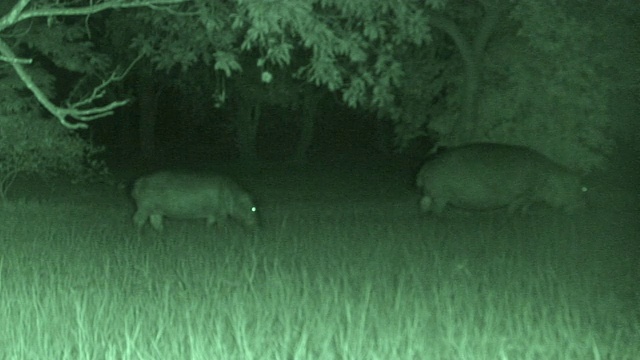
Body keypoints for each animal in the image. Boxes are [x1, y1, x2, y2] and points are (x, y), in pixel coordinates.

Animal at [418, 143, 588, 215]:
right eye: (568, 186)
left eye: (580, 185)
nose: (580, 206)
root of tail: (426, 167)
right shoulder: (523, 195)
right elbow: (514, 208)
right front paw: (513, 216)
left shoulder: (529, 197)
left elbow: (524, 207)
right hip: (441, 195)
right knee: (436, 209)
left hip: (431, 194)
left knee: (425, 205)